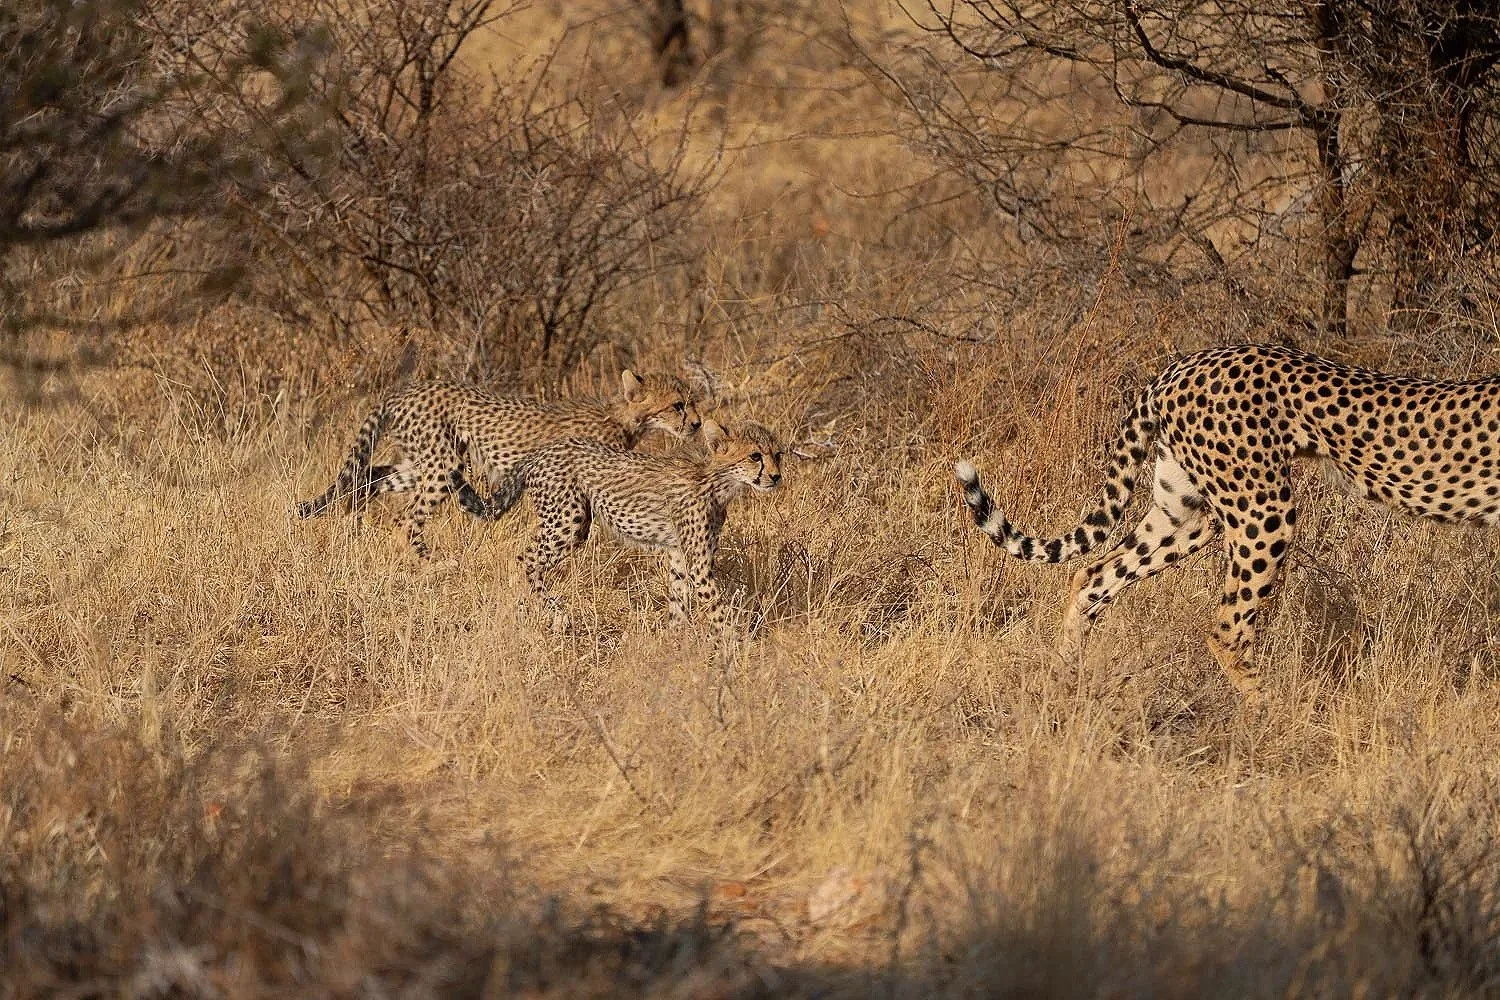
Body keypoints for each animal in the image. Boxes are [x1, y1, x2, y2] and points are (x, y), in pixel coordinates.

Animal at [297, 369, 702, 558]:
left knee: (370, 474)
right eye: (678, 405)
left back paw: (353, 519)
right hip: (441, 465)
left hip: (426, 463)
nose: (698, 424)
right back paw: (433, 565)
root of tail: (407, 389)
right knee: (406, 519)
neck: (621, 418)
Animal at [485, 418, 786, 634]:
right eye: (755, 456)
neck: (716, 479)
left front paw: (675, 642)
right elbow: (717, 609)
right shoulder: (699, 566)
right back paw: (551, 612)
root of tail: (543, 450)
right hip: (568, 522)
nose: (775, 477)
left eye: (778, 455)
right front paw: (736, 646)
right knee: (523, 558)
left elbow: (678, 600)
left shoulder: (679, 553)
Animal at [955, 343, 1500, 700]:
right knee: (1226, 627)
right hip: (1265, 510)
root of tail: (1179, 366)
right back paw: (1274, 717)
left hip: (1189, 511)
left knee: (1093, 574)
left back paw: (1061, 688)